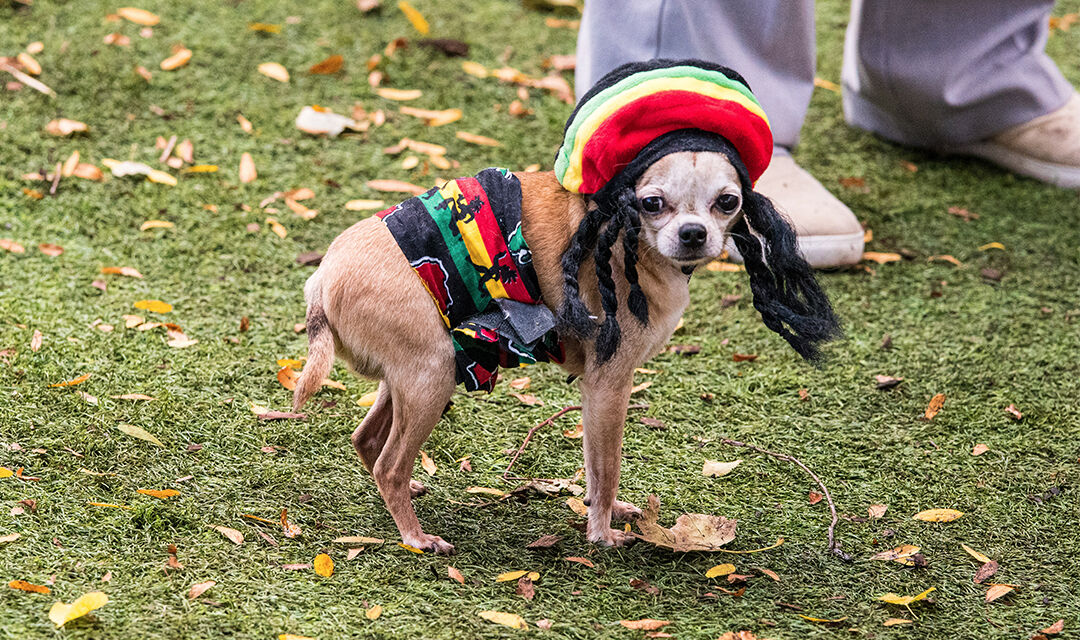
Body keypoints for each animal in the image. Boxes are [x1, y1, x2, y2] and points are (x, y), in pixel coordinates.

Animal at [291, 59, 838, 552]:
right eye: (652, 203)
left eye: (728, 202)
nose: (693, 233)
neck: (623, 231)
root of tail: (323, 277)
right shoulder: (609, 386)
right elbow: (606, 468)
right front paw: (602, 534)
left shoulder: (598, 394)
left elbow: (596, 471)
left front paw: (606, 513)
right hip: (431, 376)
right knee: (390, 463)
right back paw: (415, 536)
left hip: (410, 378)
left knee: (368, 441)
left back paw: (408, 496)